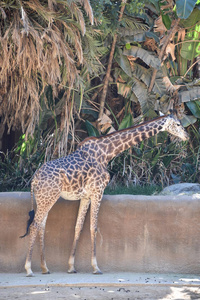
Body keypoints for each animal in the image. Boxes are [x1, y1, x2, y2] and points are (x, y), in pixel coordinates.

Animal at [21, 112, 188, 276]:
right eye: (178, 124)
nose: (187, 136)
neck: (107, 152)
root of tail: (34, 179)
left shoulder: (86, 196)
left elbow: (78, 227)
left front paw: (71, 266)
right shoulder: (98, 191)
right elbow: (93, 227)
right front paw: (96, 267)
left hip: (45, 198)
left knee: (41, 226)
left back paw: (45, 268)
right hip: (48, 197)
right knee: (35, 225)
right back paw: (29, 269)